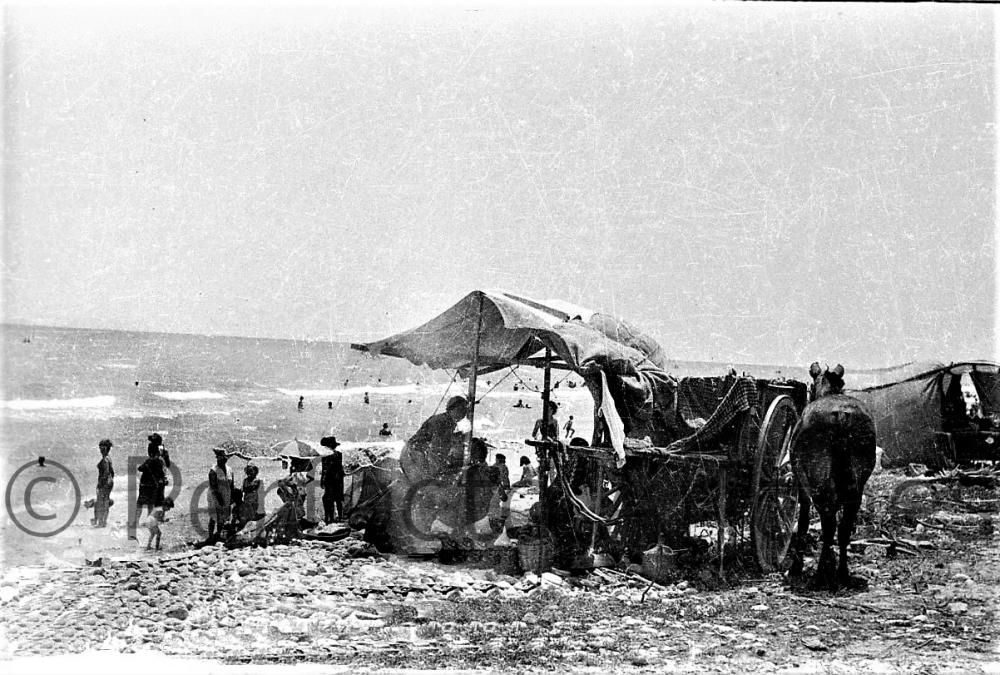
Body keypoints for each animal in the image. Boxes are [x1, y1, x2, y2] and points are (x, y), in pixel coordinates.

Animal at [788, 362, 876, 588]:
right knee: (844, 527)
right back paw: (842, 572)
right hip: (856, 485)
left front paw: (796, 567)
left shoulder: (802, 485)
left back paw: (821, 574)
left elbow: (803, 521)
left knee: (828, 525)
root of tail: (842, 415)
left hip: (818, 480)